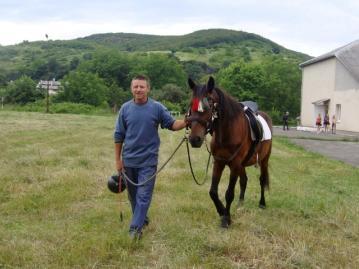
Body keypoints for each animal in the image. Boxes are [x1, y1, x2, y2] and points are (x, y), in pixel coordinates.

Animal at [188, 76, 272, 227]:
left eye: (209, 103)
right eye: (191, 104)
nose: (194, 139)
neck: (227, 133)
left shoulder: (234, 164)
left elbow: (229, 193)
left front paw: (226, 219)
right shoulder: (219, 162)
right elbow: (213, 192)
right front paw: (222, 211)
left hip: (264, 160)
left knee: (262, 180)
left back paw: (262, 203)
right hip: (243, 165)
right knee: (244, 180)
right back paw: (240, 204)